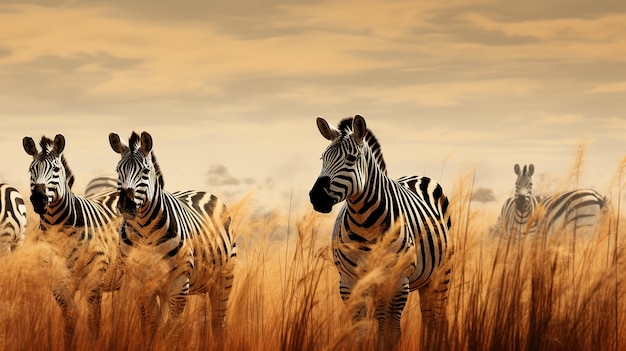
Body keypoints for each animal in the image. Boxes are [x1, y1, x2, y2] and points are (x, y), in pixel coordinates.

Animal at [22, 133, 120, 350]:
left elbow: (93, 321)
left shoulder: (96, 272)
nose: (38, 199)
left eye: (56, 170)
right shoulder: (57, 278)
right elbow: (70, 315)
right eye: (31, 170)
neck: (57, 227)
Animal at [108, 131, 235, 342]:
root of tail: (202, 191)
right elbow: (151, 325)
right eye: (118, 171)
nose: (126, 205)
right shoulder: (141, 282)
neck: (144, 230)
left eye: (145, 171)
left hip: (223, 278)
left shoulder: (179, 283)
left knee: (218, 324)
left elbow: (171, 329)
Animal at [308, 116, 450, 351]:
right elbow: (361, 331)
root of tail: (416, 176)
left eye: (351, 158)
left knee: (435, 320)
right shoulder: (348, 282)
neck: (365, 224)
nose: (317, 197)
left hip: (440, 275)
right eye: (322, 158)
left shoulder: (399, 282)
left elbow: (390, 332)